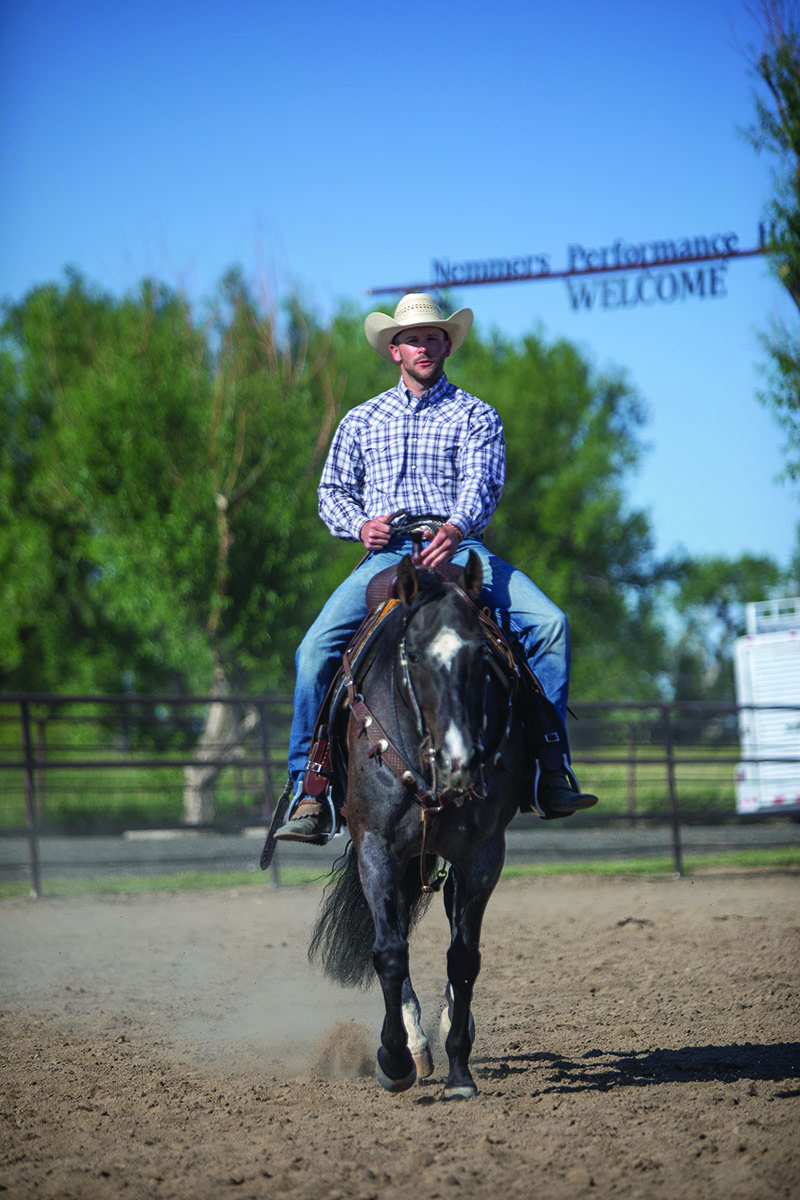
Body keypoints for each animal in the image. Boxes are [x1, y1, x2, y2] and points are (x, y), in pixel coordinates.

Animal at [307, 549, 525, 1099]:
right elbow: (388, 952)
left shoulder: (483, 853)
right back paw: (415, 1042)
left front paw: (460, 1071)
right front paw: (395, 1059)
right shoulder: (377, 848)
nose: (460, 760)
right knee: (397, 933)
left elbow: (463, 957)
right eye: (416, 656)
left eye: (482, 656)